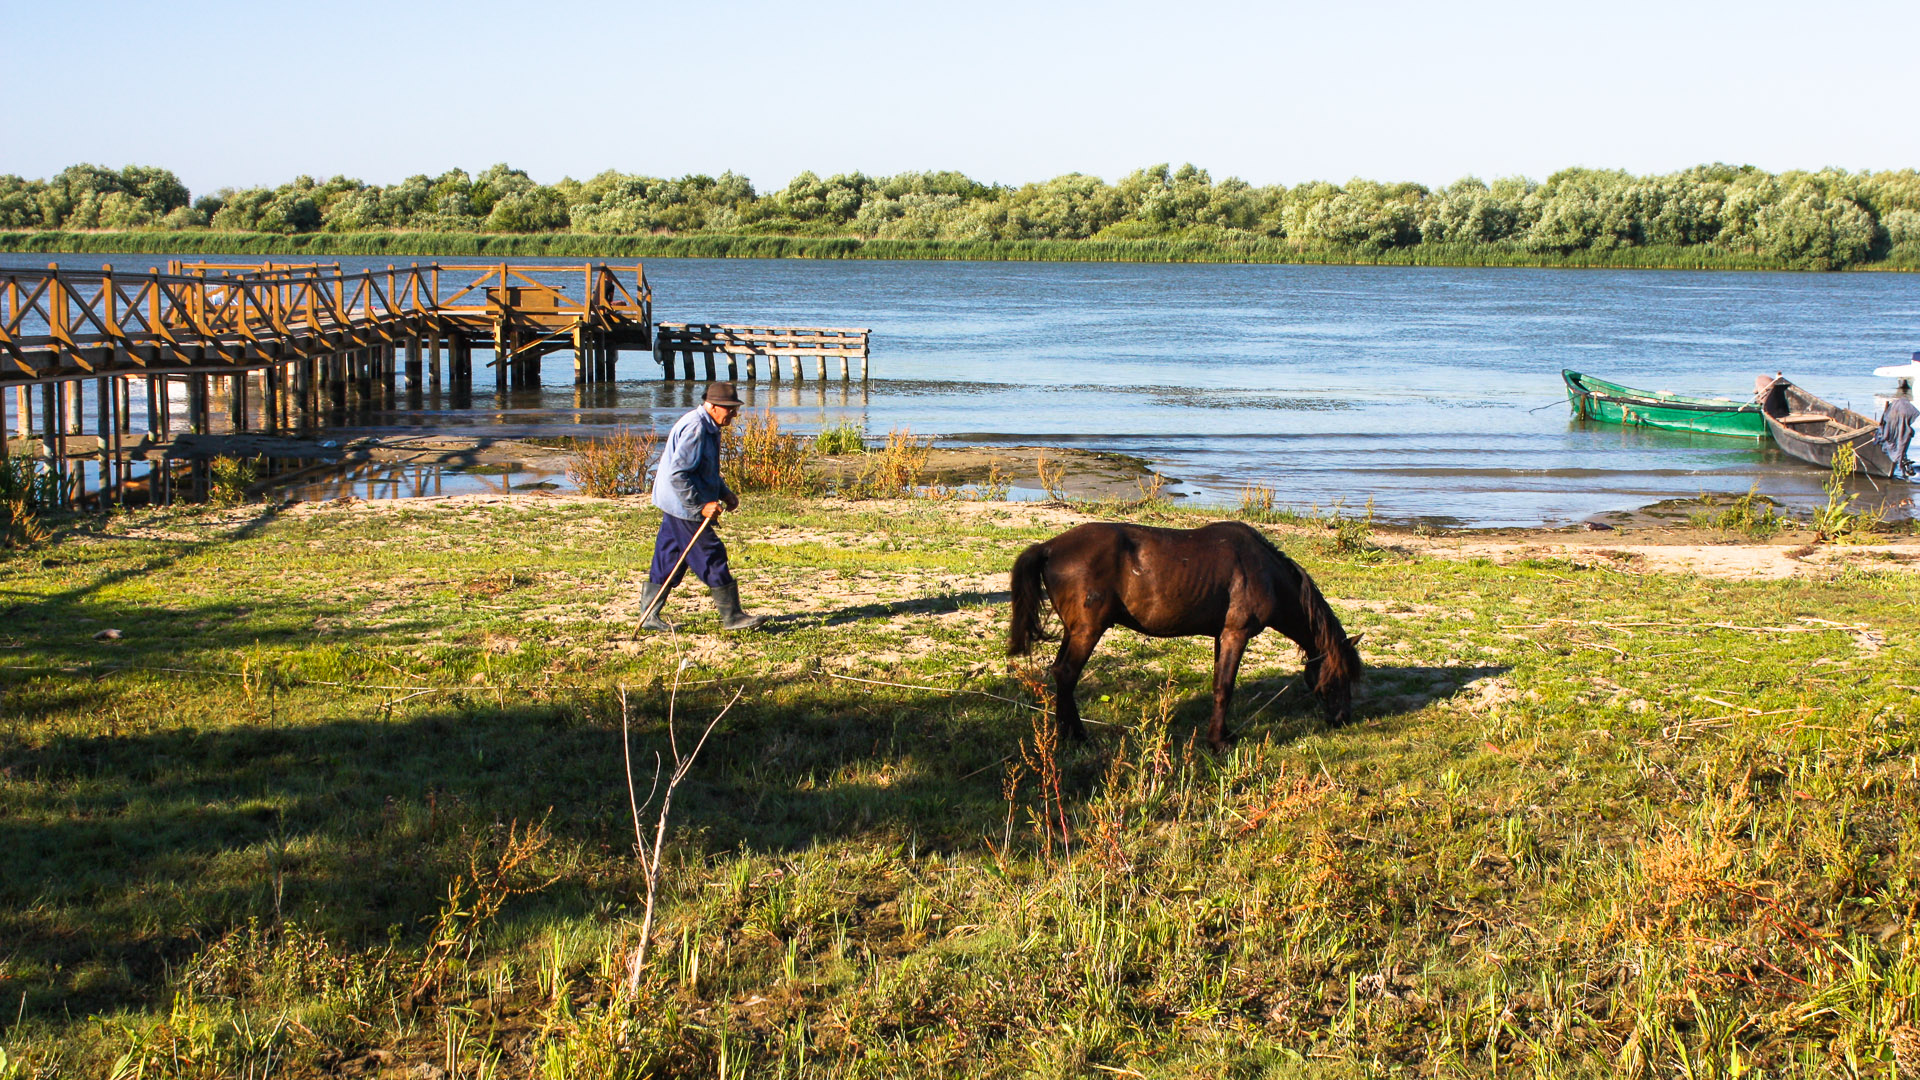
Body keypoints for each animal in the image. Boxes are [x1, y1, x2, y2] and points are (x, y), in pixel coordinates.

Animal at [1006, 522, 1367, 749]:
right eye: (1338, 676)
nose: (1343, 719)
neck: (1265, 572)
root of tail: (1049, 547)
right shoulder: (1236, 634)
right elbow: (1225, 687)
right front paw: (1219, 742)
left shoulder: (1222, 635)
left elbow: (1219, 684)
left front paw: (1222, 734)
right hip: (1087, 631)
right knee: (1068, 674)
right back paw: (1077, 736)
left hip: (1074, 631)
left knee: (1059, 673)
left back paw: (1067, 733)